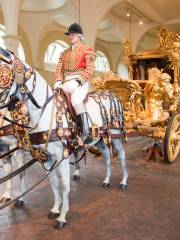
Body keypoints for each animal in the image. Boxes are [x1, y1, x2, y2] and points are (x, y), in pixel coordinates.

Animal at [0, 52, 128, 229]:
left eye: (4, 75)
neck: (45, 112)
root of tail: (112, 93)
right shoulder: (45, 157)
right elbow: (54, 183)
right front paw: (55, 209)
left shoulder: (61, 155)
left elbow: (65, 185)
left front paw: (62, 217)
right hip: (99, 139)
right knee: (108, 157)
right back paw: (107, 180)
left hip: (115, 135)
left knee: (121, 156)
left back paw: (123, 181)